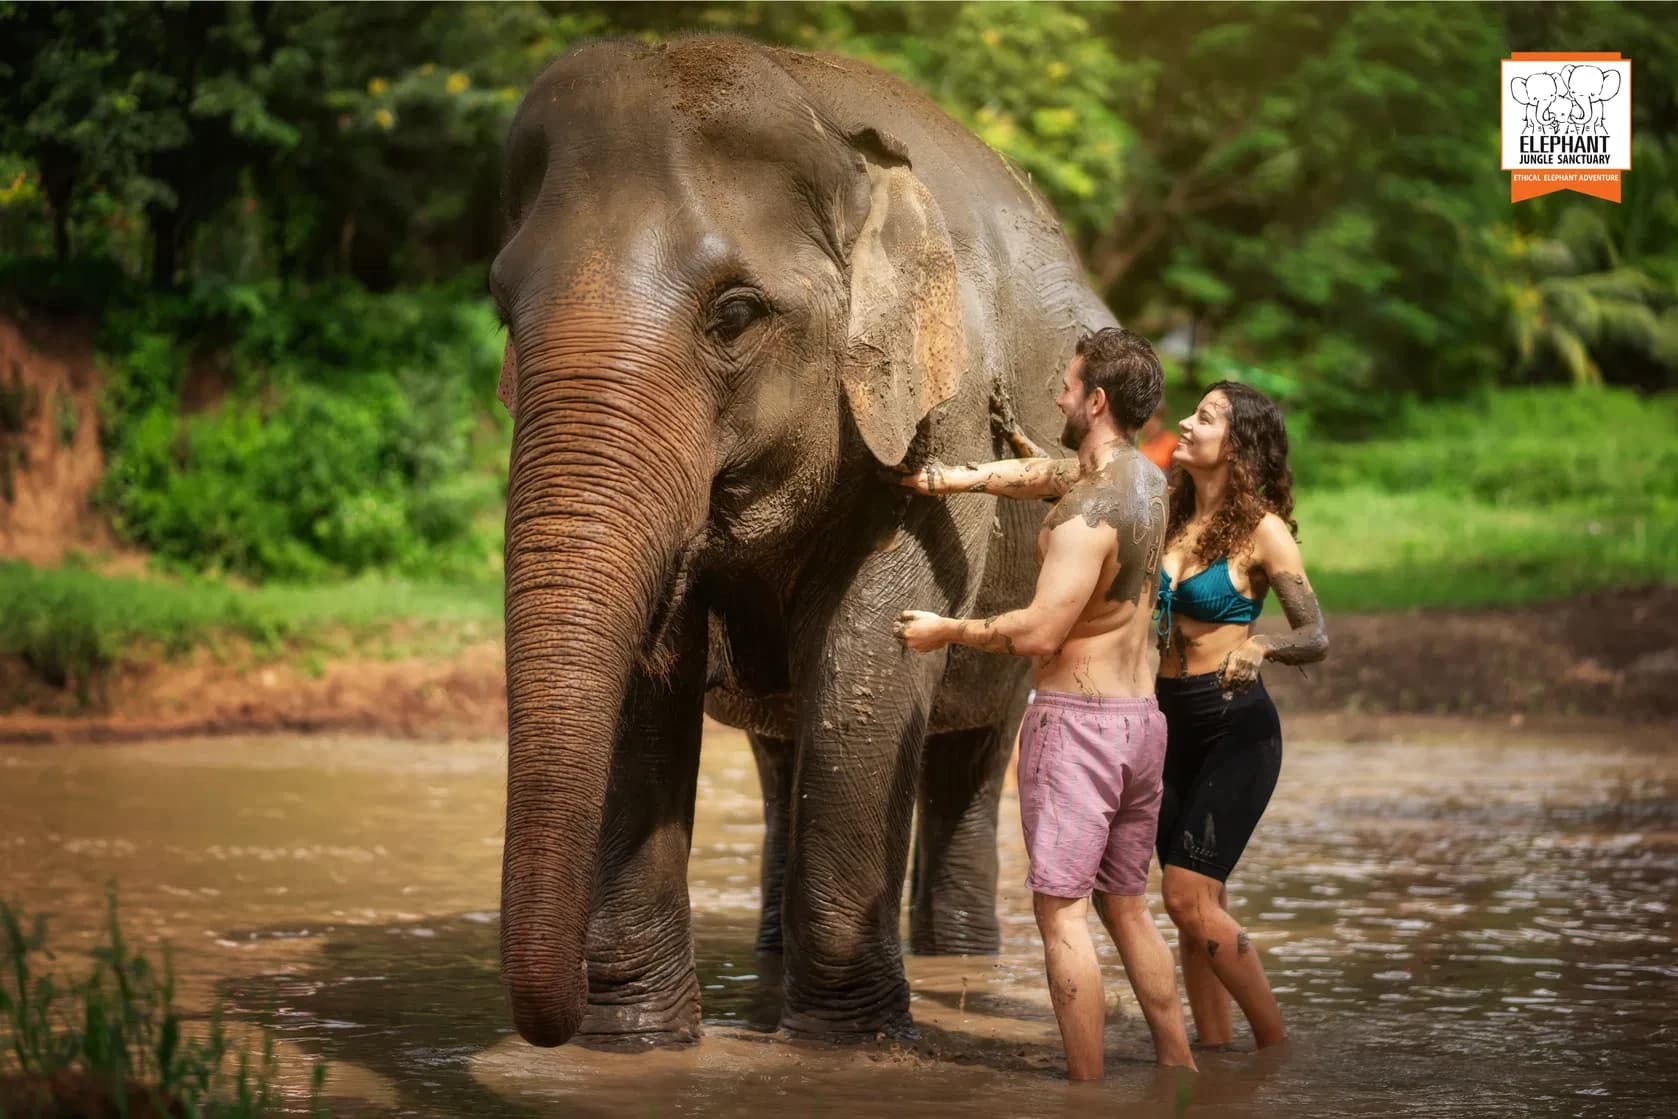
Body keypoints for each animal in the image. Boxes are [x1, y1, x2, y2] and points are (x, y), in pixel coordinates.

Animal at [490, 35, 1114, 1050]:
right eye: (504, 310)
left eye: (735, 314)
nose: (553, 1018)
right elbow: (646, 676)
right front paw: (633, 1044)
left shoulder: (942, 404)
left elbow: (869, 652)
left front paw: (849, 1045)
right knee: (784, 754)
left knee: (975, 752)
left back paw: (958, 963)